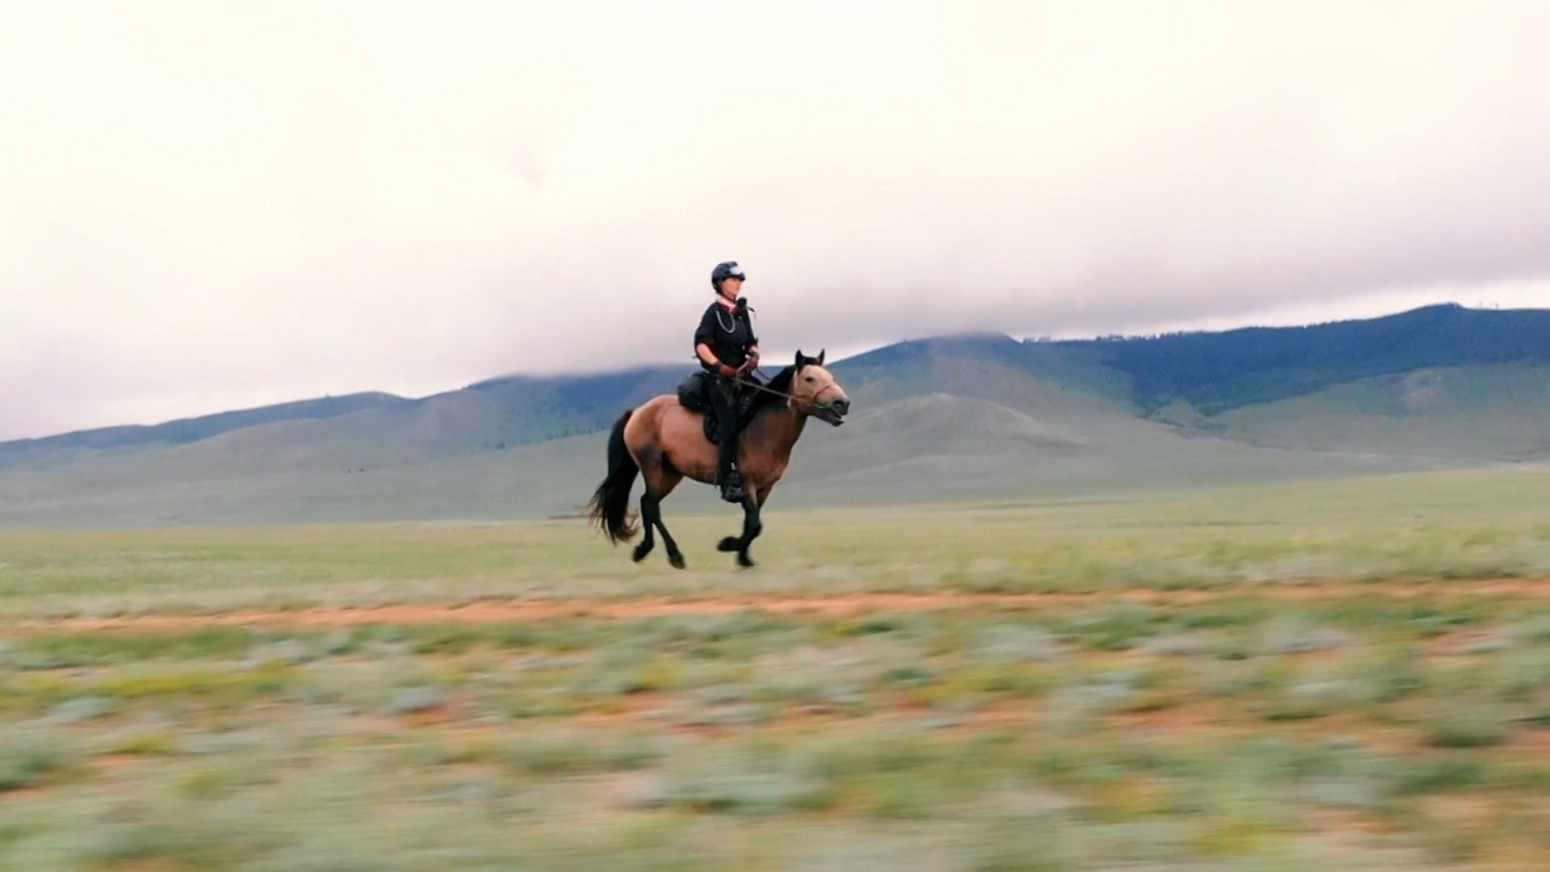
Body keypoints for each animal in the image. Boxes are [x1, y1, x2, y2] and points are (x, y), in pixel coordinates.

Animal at [582, 351, 855, 569]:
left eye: (830, 376)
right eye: (810, 378)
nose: (842, 403)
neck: (763, 425)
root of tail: (637, 412)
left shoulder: (764, 487)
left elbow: (752, 523)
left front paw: (744, 558)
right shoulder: (746, 482)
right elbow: (754, 524)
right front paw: (728, 545)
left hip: (670, 474)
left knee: (649, 504)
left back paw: (649, 551)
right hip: (653, 468)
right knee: (650, 506)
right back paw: (670, 555)